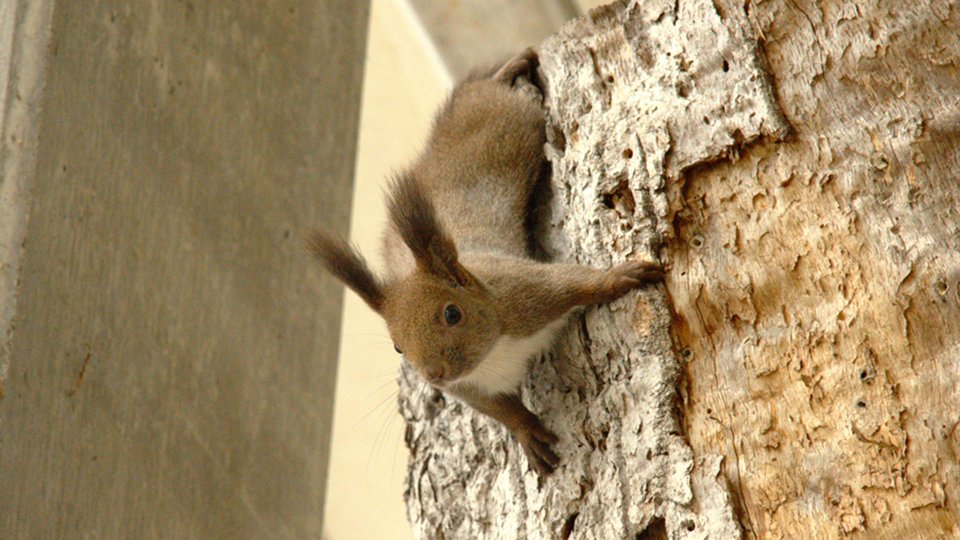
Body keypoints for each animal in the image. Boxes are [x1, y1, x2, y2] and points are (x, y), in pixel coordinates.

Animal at [308, 48, 660, 474]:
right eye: (396, 347)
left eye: (452, 313)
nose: (434, 375)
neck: (494, 351)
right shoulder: (470, 387)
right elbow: (500, 410)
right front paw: (528, 433)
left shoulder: (526, 293)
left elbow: (574, 280)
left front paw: (622, 276)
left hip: (510, 121)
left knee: (497, 93)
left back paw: (508, 70)